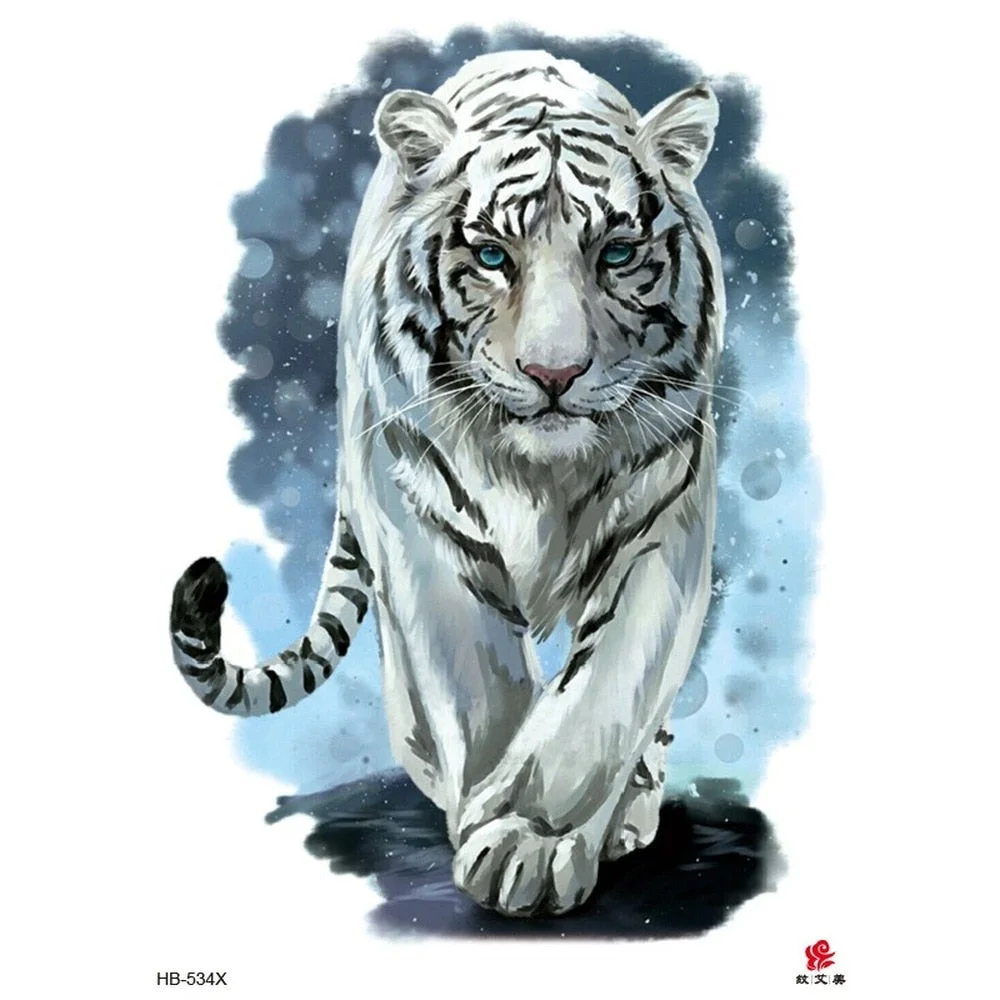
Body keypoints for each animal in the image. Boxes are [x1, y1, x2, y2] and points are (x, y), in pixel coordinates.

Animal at [170, 49, 724, 917]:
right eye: (493, 257)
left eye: (617, 255)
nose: (554, 374)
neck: (541, 474)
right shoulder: (420, 517)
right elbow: (478, 685)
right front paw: (499, 828)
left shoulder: (661, 521)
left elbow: (606, 692)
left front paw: (532, 836)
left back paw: (629, 813)